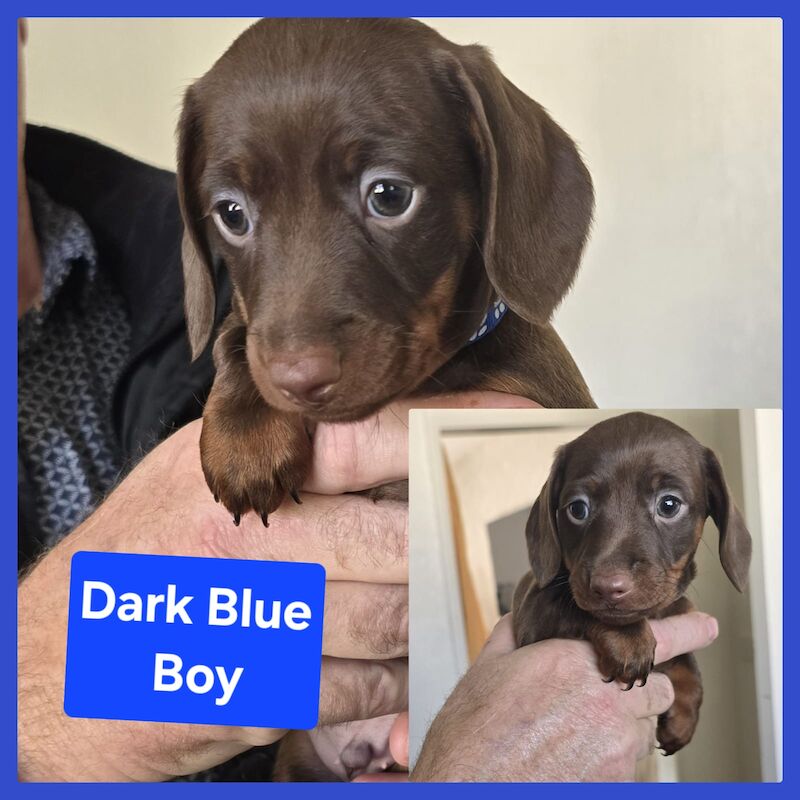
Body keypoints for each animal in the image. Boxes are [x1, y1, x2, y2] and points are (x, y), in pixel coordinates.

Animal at [512, 412, 752, 756]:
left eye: (669, 505)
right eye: (577, 508)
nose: (607, 587)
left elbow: (689, 666)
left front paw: (684, 714)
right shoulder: (534, 614)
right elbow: (575, 606)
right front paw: (628, 637)